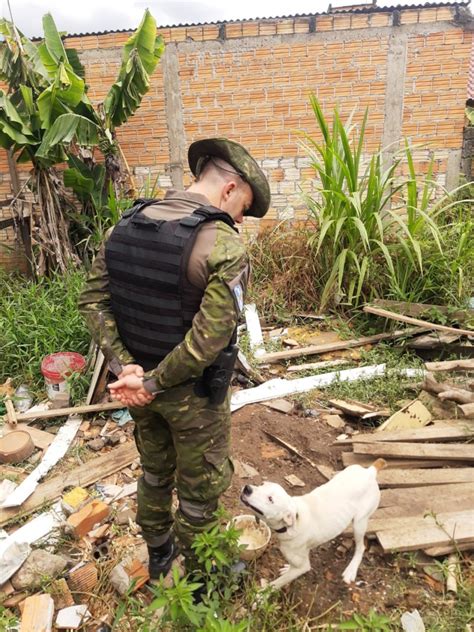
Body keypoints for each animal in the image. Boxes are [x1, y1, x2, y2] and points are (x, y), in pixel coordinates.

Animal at [241, 460, 386, 588]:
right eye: (261, 484)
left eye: (270, 499)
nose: (247, 488)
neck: (290, 525)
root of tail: (369, 472)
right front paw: (287, 569)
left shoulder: (303, 567)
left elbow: (276, 584)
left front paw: (259, 597)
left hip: (359, 523)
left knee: (361, 547)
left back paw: (351, 570)